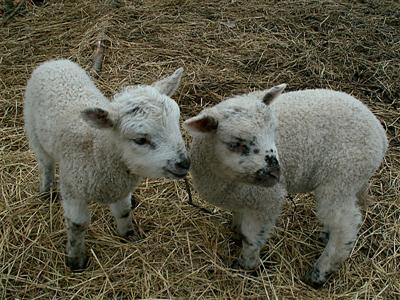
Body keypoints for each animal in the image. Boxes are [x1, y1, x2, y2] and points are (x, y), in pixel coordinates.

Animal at [23, 59, 191, 272]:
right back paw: (45, 190)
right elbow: (77, 225)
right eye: (140, 140)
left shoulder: (119, 188)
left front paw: (129, 236)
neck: (97, 148)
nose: (184, 163)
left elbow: (124, 212)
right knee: (46, 164)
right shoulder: (73, 189)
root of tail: (54, 62)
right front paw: (76, 260)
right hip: (33, 131)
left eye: (176, 122)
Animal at [184, 84, 388, 286]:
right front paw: (235, 231)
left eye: (273, 131)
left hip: (341, 178)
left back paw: (320, 272)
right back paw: (325, 236)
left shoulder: (265, 200)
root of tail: (380, 133)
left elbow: (252, 236)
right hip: (350, 180)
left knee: (346, 225)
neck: (225, 178)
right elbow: (240, 223)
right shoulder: (243, 196)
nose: (276, 172)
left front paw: (246, 265)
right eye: (236, 144)